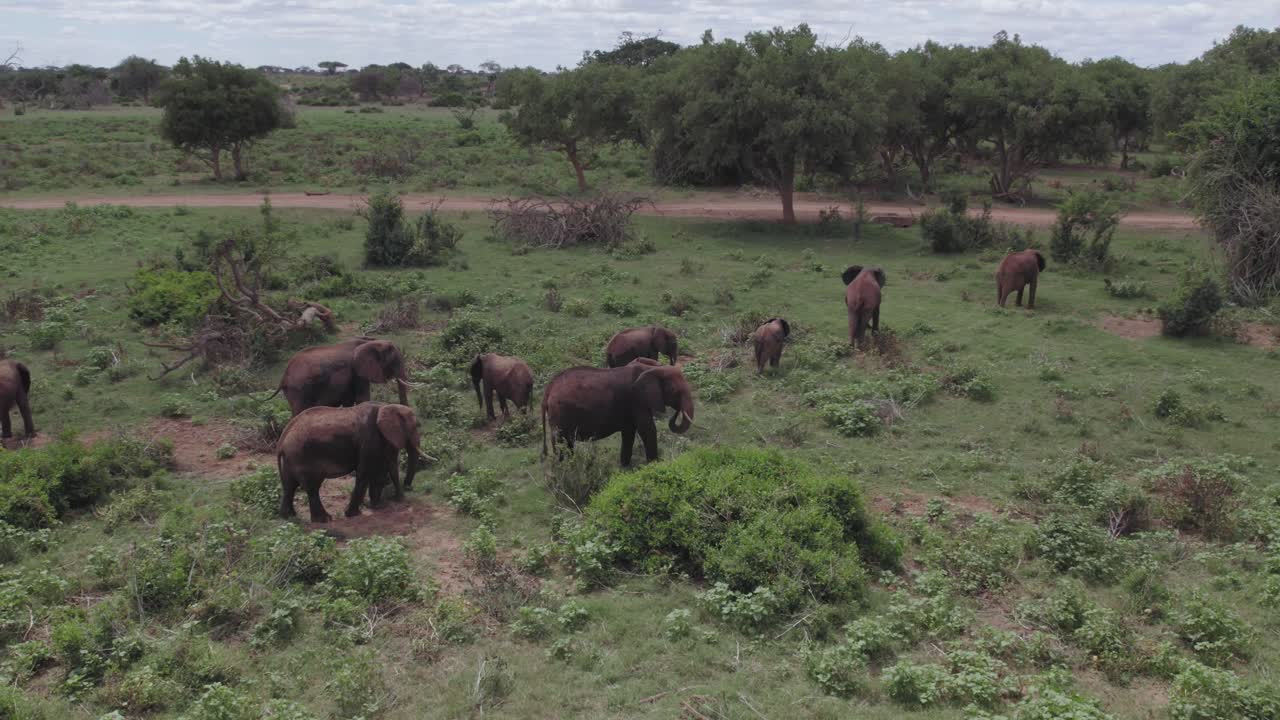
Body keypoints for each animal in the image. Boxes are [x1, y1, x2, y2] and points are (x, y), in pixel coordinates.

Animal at [270, 338, 417, 416]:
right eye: (395, 362)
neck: (371, 341)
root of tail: (284, 376)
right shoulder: (357, 370)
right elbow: (362, 398)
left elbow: (349, 400)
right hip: (299, 389)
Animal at [276, 402, 426, 522]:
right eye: (415, 427)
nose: (407, 489)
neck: (385, 406)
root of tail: (282, 440)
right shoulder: (369, 439)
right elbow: (365, 472)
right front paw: (353, 514)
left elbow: (381, 471)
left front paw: (378, 506)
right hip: (302, 455)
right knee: (312, 487)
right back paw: (324, 519)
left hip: (291, 458)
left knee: (290, 485)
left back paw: (288, 517)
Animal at [541, 360, 693, 466]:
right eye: (674, 391)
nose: (678, 410)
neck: (652, 369)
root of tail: (549, 389)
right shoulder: (637, 400)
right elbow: (647, 429)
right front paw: (655, 464)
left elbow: (629, 432)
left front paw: (625, 468)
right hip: (560, 414)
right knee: (561, 442)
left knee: (568, 443)